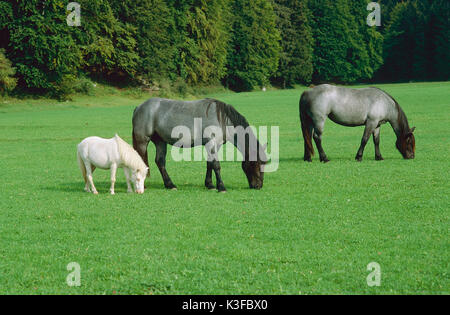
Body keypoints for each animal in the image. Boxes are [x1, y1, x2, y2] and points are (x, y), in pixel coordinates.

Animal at [132, 99, 266, 193]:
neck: (222, 120)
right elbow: (216, 165)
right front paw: (221, 187)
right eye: (256, 164)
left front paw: (210, 185)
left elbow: (210, 164)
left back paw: (170, 185)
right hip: (142, 141)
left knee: (160, 161)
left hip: (160, 142)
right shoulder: (211, 143)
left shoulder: (214, 145)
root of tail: (139, 107)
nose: (258, 186)